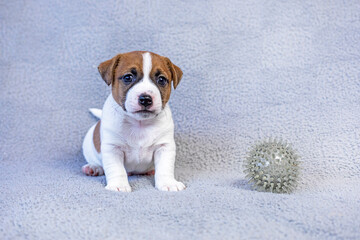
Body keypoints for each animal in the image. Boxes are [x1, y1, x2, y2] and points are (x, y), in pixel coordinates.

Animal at [82, 51, 186, 193]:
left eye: (161, 80)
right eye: (128, 77)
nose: (146, 99)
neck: (140, 123)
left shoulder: (164, 147)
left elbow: (165, 168)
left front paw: (168, 183)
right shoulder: (112, 148)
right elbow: (116, 169)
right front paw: (119, 185)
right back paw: (94, 168)